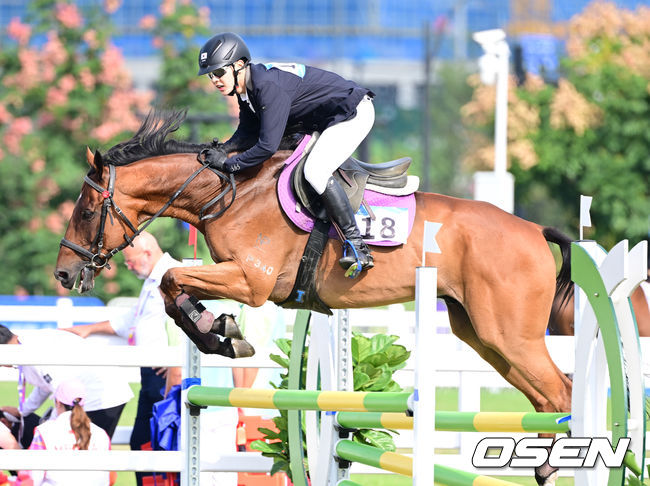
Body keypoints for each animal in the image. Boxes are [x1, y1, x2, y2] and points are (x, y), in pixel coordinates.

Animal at [57, 110, 572, 482]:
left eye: (86, 211)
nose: (64, 273)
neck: (227, 193)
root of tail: (533, 231)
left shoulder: (252, 282)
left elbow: (169, 280)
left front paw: (221, 332)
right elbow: (173, 287)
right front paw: (219, 330)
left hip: (509, 335)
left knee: (562, 392)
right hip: (483, 336)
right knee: (545, 399)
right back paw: (546, 466)